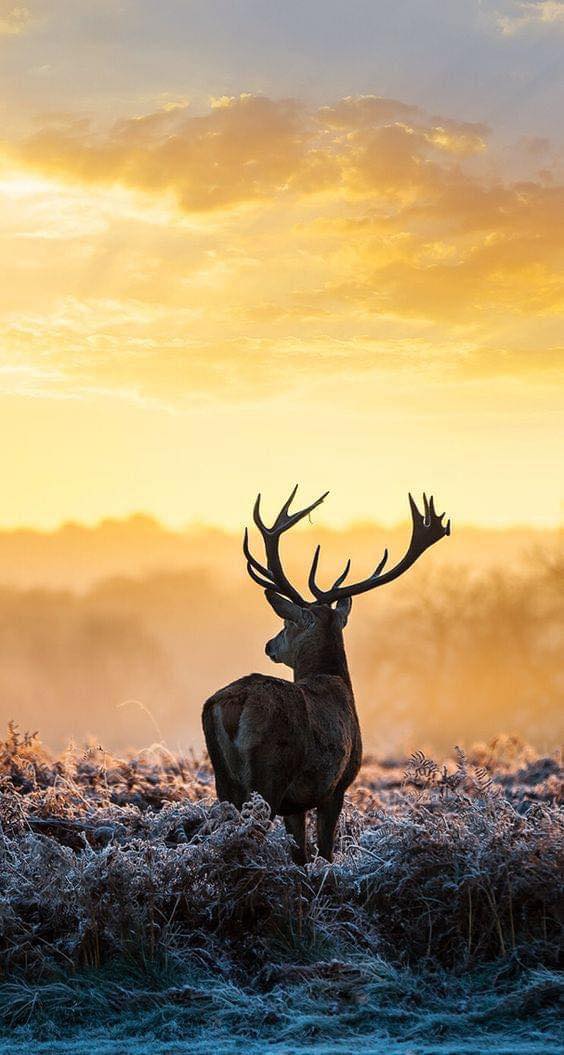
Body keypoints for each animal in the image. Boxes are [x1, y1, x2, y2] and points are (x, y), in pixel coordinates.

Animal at [202, 489, 451, 860]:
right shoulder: (336, 786)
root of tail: (232, 704)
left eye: (286, 623)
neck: (335, 681)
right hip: (269, 774)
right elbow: (325, 852)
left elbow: (301, 857)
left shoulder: (296, 804)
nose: (269, 645)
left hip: (224, 780)